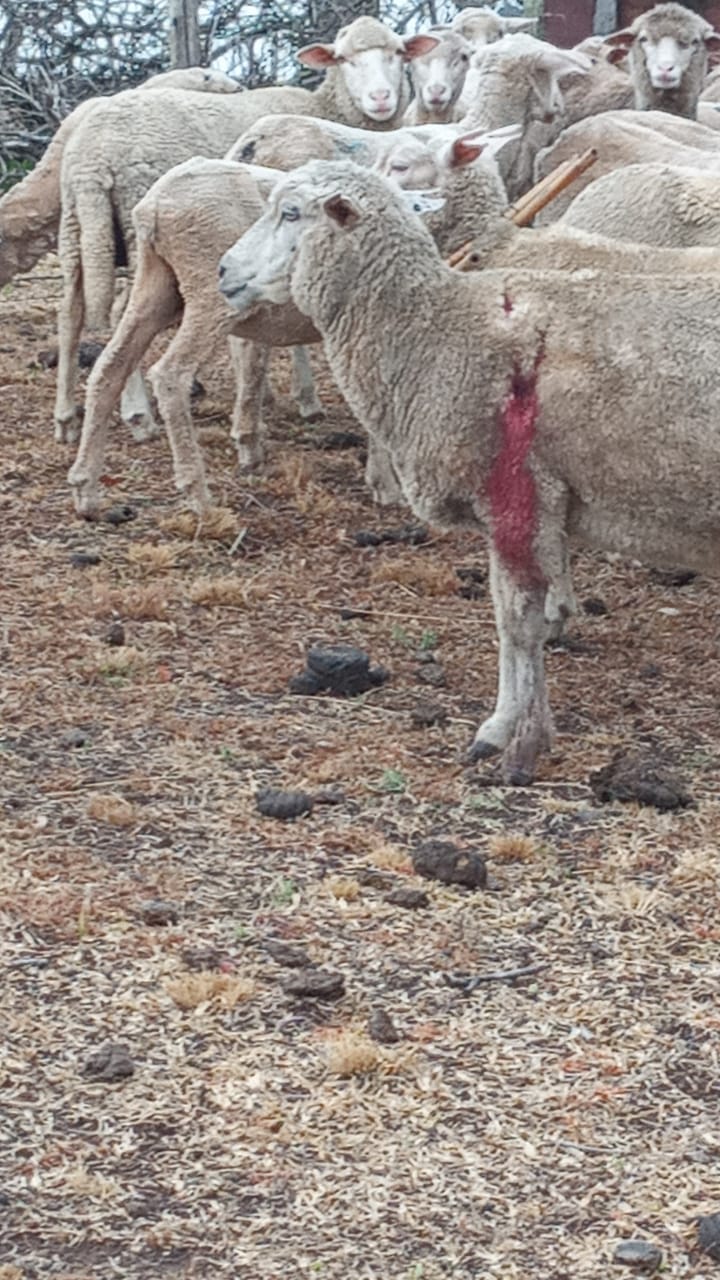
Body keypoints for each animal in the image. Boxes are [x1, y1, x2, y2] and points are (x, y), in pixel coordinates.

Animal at [217, 158, 717, 778]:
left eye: (290, 213)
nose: (223, 271)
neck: (434, 331)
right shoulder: (541, 503)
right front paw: (529, 726)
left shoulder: (514, 491)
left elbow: (516, 622)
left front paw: (504, 731)